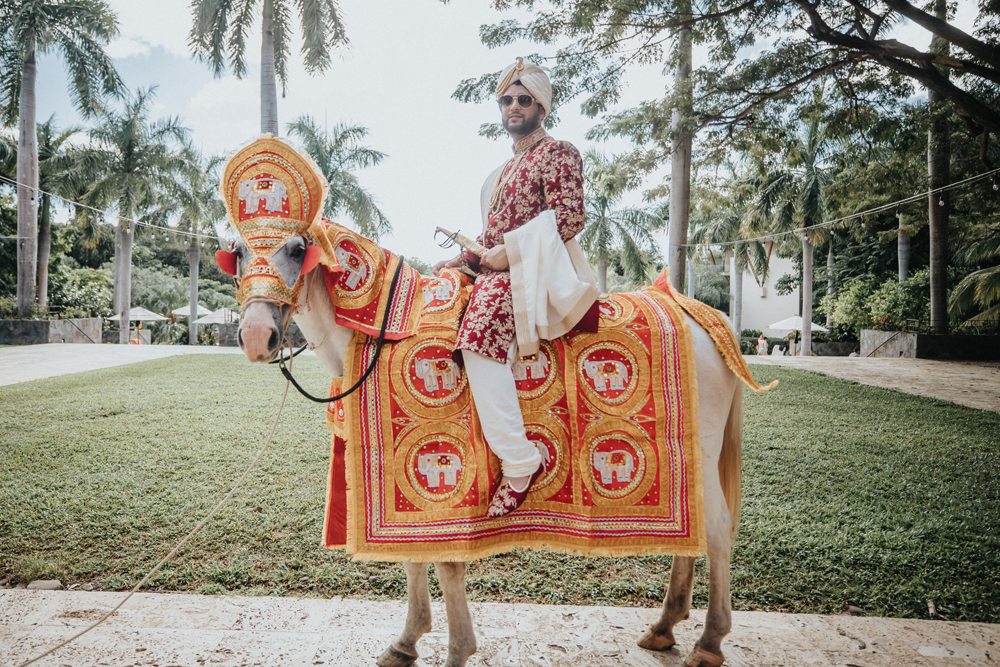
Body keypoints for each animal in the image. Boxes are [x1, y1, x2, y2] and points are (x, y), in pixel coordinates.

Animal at [232, 234, 744, 667]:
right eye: (237, 250)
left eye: (297, 249)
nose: (257, 335)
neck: (384, 331)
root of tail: (695, 311)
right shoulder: (390, 478)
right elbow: (411, 553)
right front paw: (406, 641)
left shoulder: (446, 476)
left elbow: (446, 561)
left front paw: (457, 648)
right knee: (693, 531)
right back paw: (664, 626)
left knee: (718, 531)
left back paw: (709, 641)